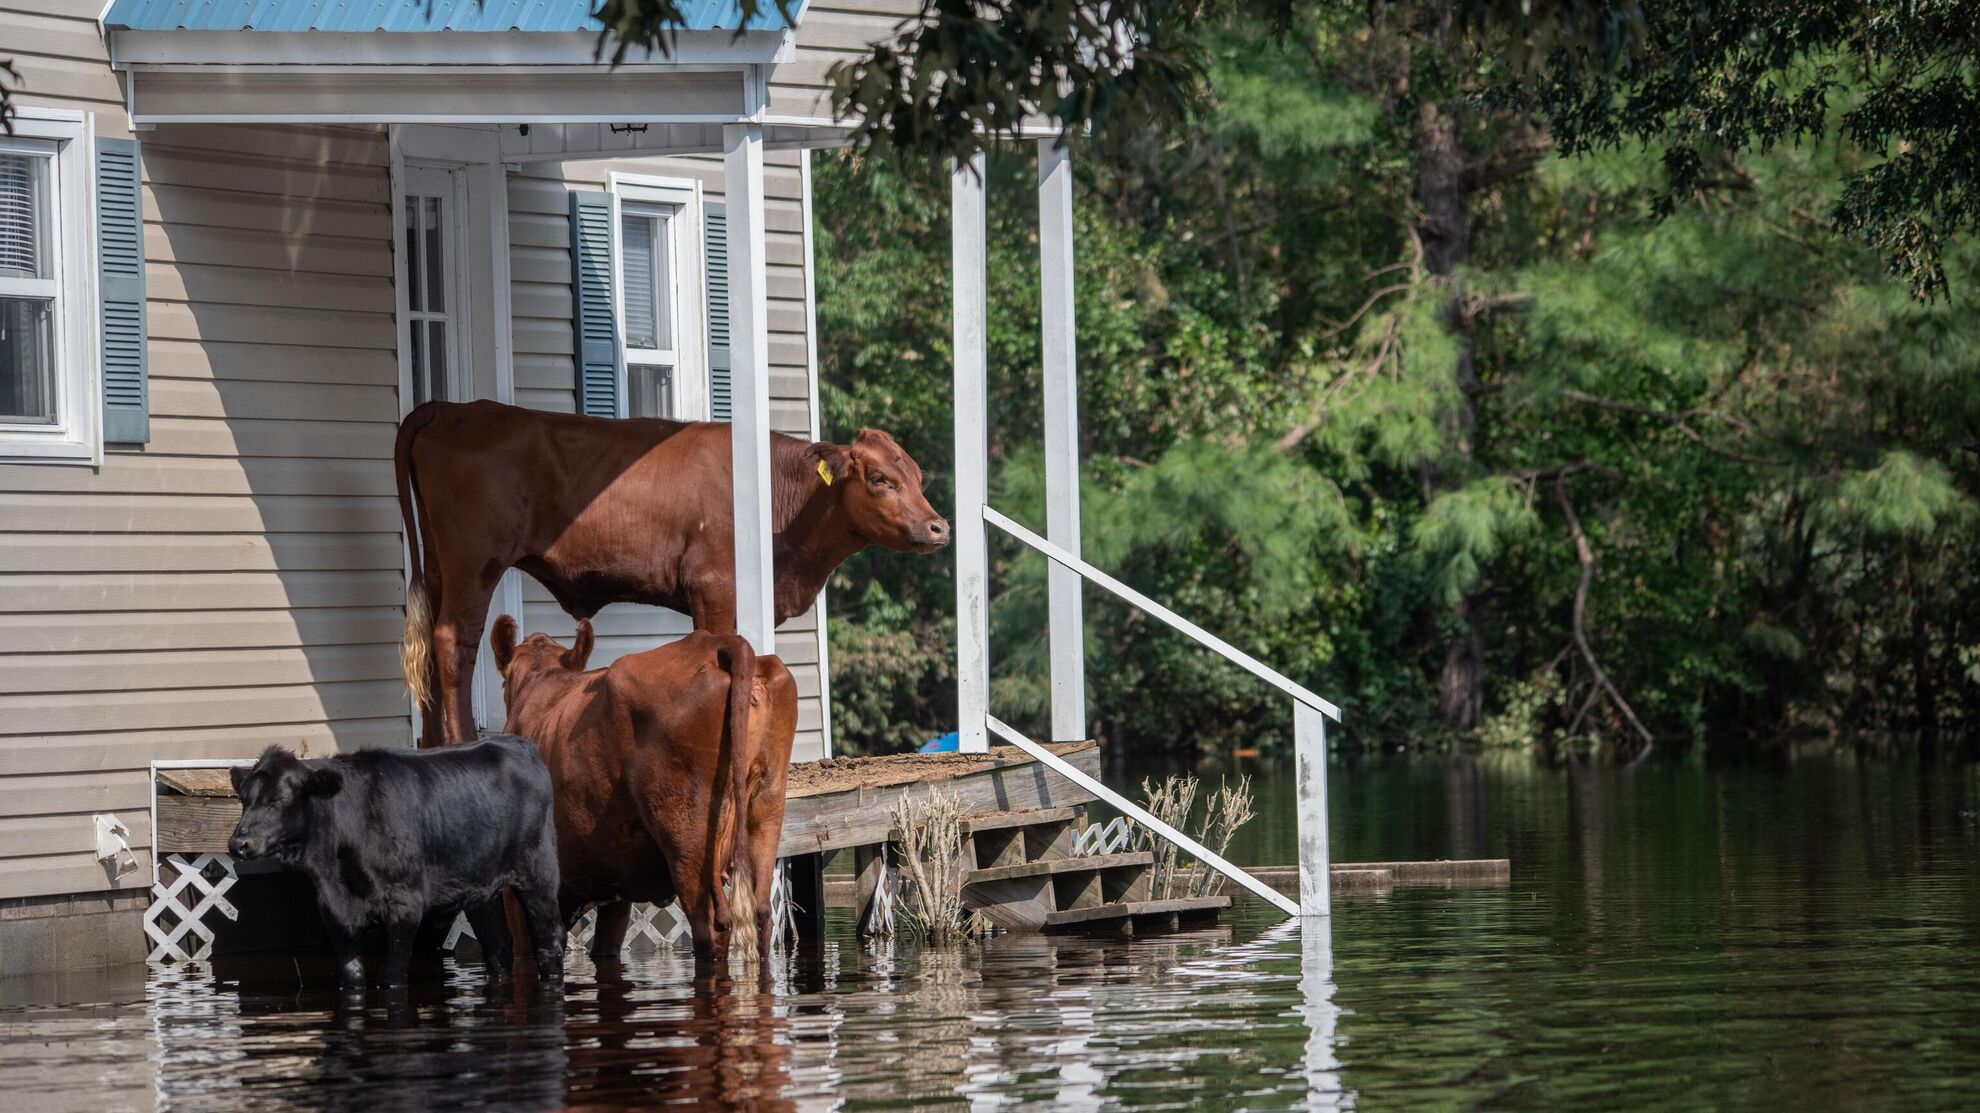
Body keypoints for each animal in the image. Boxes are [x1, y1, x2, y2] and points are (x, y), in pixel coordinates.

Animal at [226, 736, 562, 986]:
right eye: (244, 799)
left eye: (279, 799)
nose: (239, 844)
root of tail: (515, 742)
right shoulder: (333, 913)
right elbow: (353, 976)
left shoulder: (405, 905)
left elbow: (391, 976)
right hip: (480, 890)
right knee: (498, 948)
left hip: (539, 874)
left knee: (549, 944)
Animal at [397, 398, 946, 744]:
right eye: (880, 478)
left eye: (918, 475)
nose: (939, 527)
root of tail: (455, 408)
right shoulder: (714, 589)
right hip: (473, 562)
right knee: (454, 640)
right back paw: (460, 741)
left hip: (439, 562)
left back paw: (431, 743)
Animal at [487, 609, 795, 966]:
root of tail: (716, 643)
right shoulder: (615, 886)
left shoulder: (517, 891)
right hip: (765, 807)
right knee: (761, 915)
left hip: (687, 836)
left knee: (711, 926)